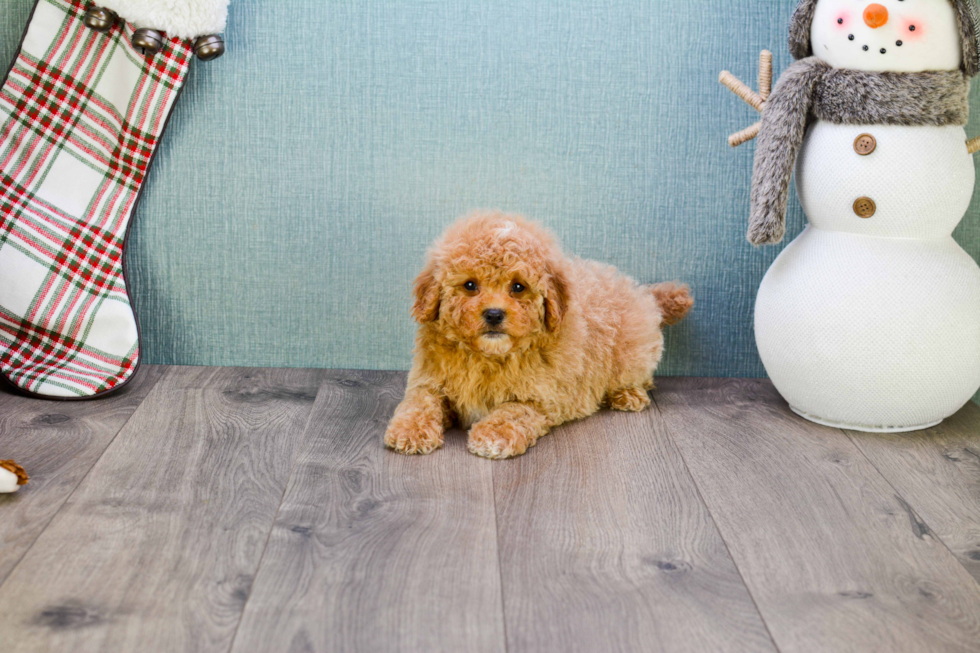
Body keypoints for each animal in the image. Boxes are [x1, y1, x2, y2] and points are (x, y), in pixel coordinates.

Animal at [386, 213, 692, 458]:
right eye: (470, 285)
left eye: (518, 287)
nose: (494, 314)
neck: (487, 356)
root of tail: (641, 291)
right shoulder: (429, 380)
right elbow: (420, 402)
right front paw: (409, 430)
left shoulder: (541, 397)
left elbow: (512, 410)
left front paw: (493, 435)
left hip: (633, 352)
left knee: (640, 377)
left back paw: (627, 395)